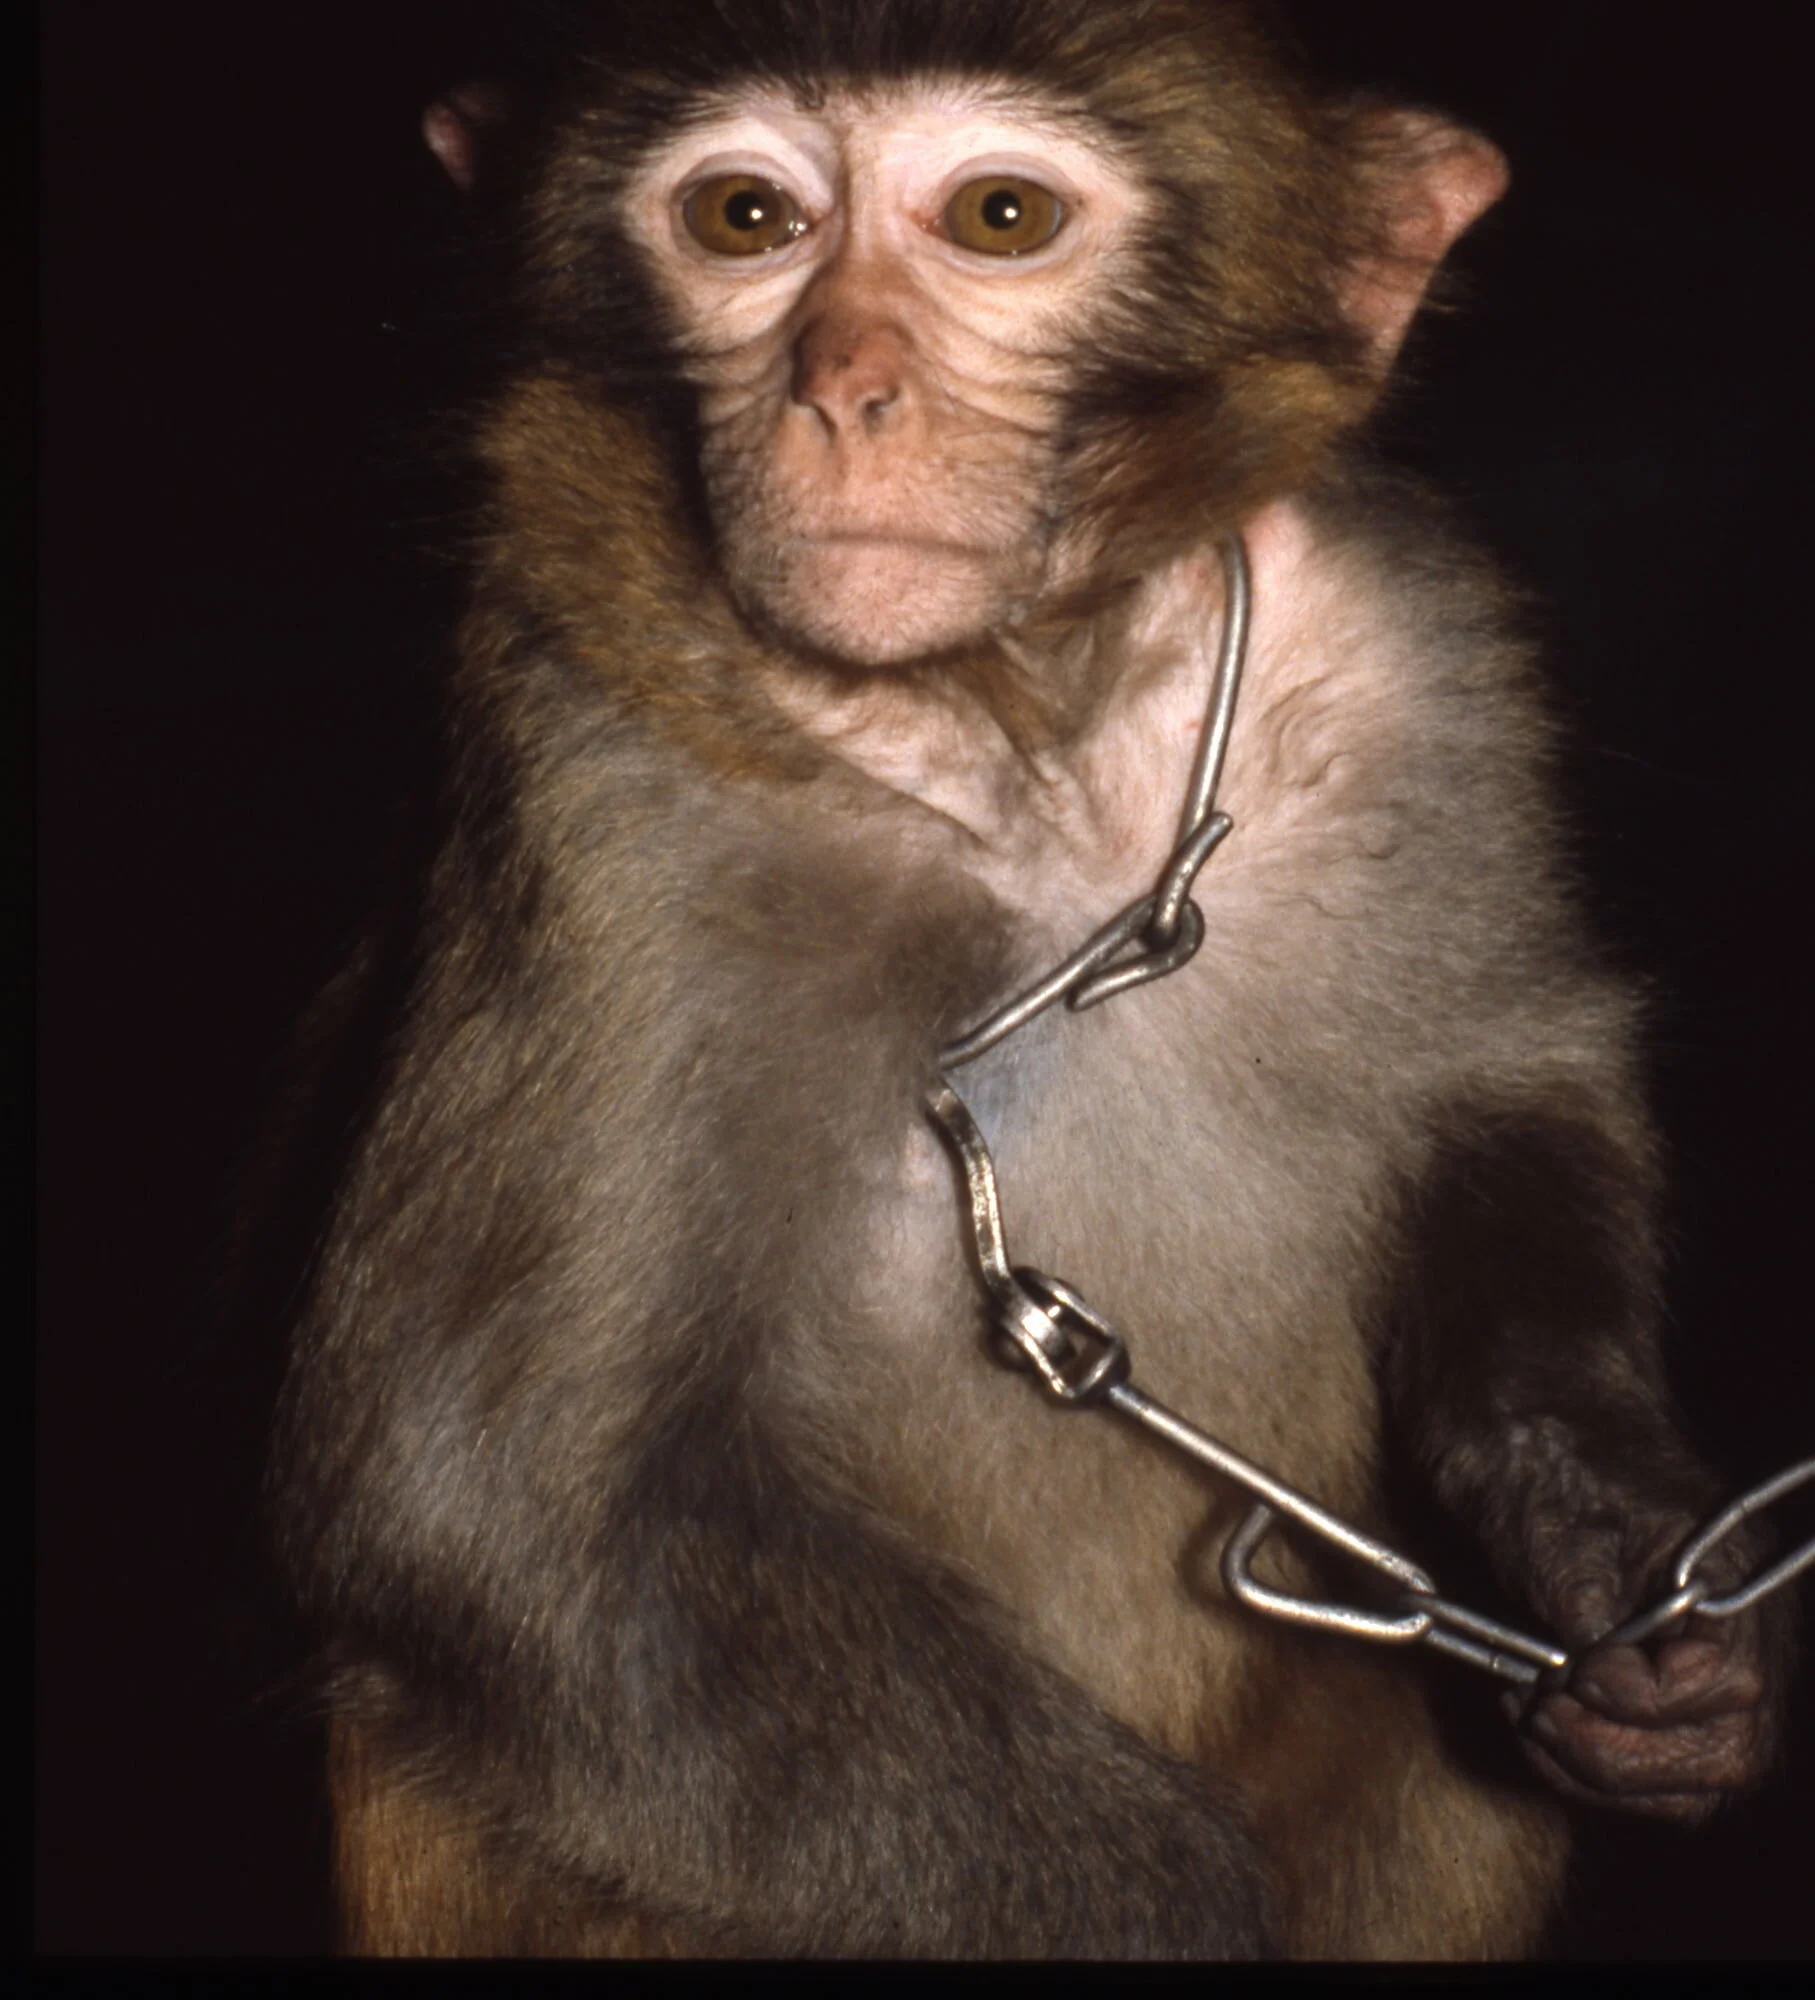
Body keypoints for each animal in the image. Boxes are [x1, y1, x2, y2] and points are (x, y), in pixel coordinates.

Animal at [269, 0, 1783, 1960]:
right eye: (744, 219)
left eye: (1000, 217)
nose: (842, 391)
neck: (1009, 720)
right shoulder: (598, 790)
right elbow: (497, 1516)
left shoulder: (1412, 645)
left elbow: (1513, 1081)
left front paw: (1610, 1551)